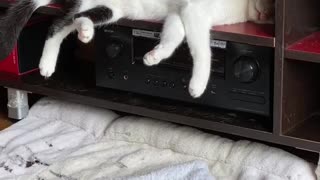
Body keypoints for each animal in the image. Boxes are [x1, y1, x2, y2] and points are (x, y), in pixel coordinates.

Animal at [0, 0, 276, 97]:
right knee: (59, 23)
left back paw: (80, 36)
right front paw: (198, 84)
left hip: (109, 9)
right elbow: (201, 49)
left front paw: (154, 56)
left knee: (70, 21)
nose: (269, 14)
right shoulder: (194, 10)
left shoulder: (182, 13)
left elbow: (174, 35)